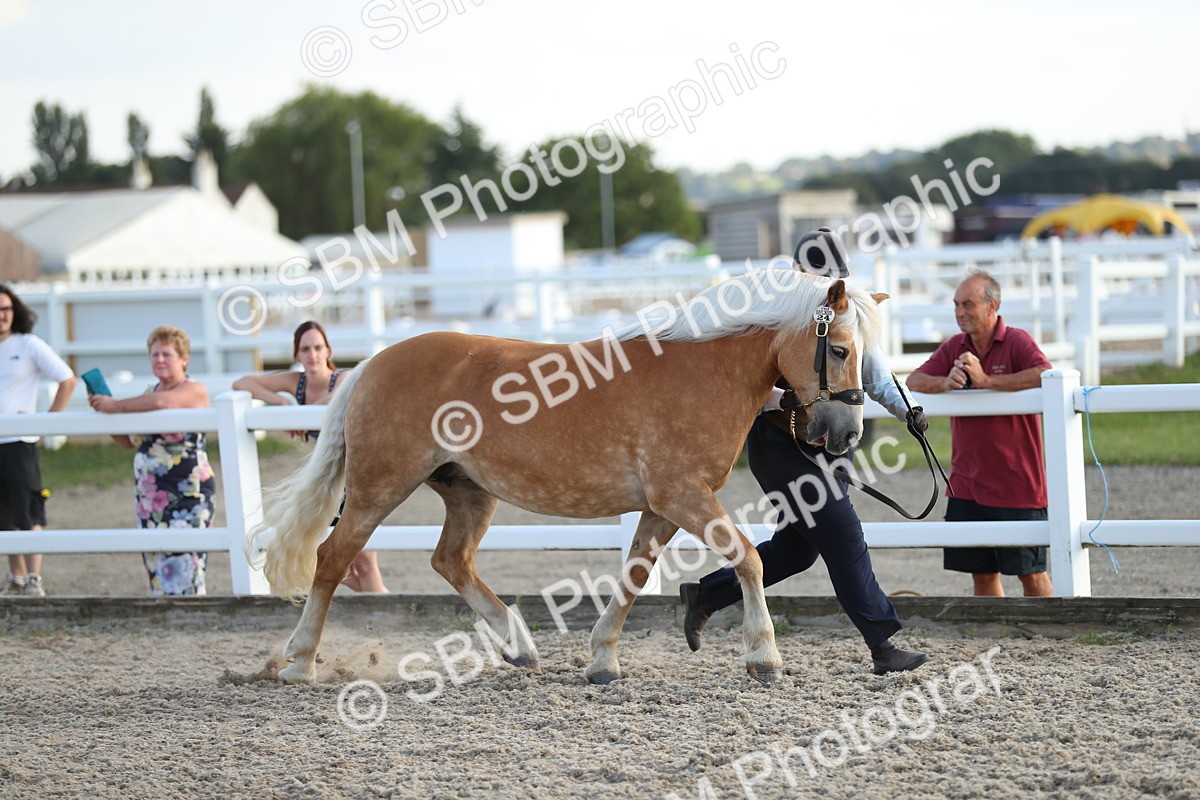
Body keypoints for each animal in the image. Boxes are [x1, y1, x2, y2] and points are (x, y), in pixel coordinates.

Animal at [249, 270, 885, 686]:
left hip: (467, 493)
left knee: (451, 562)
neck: (702, 371)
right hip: (379, 488)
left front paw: (602, 660)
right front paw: (764, 656)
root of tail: (368, 367)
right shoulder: (682, 496)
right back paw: (300, 662)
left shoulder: (662, 507)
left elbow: (634, 575)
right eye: (841, 349)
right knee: (332, 558)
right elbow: (748, 558)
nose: (846, 433)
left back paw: (519, 648)